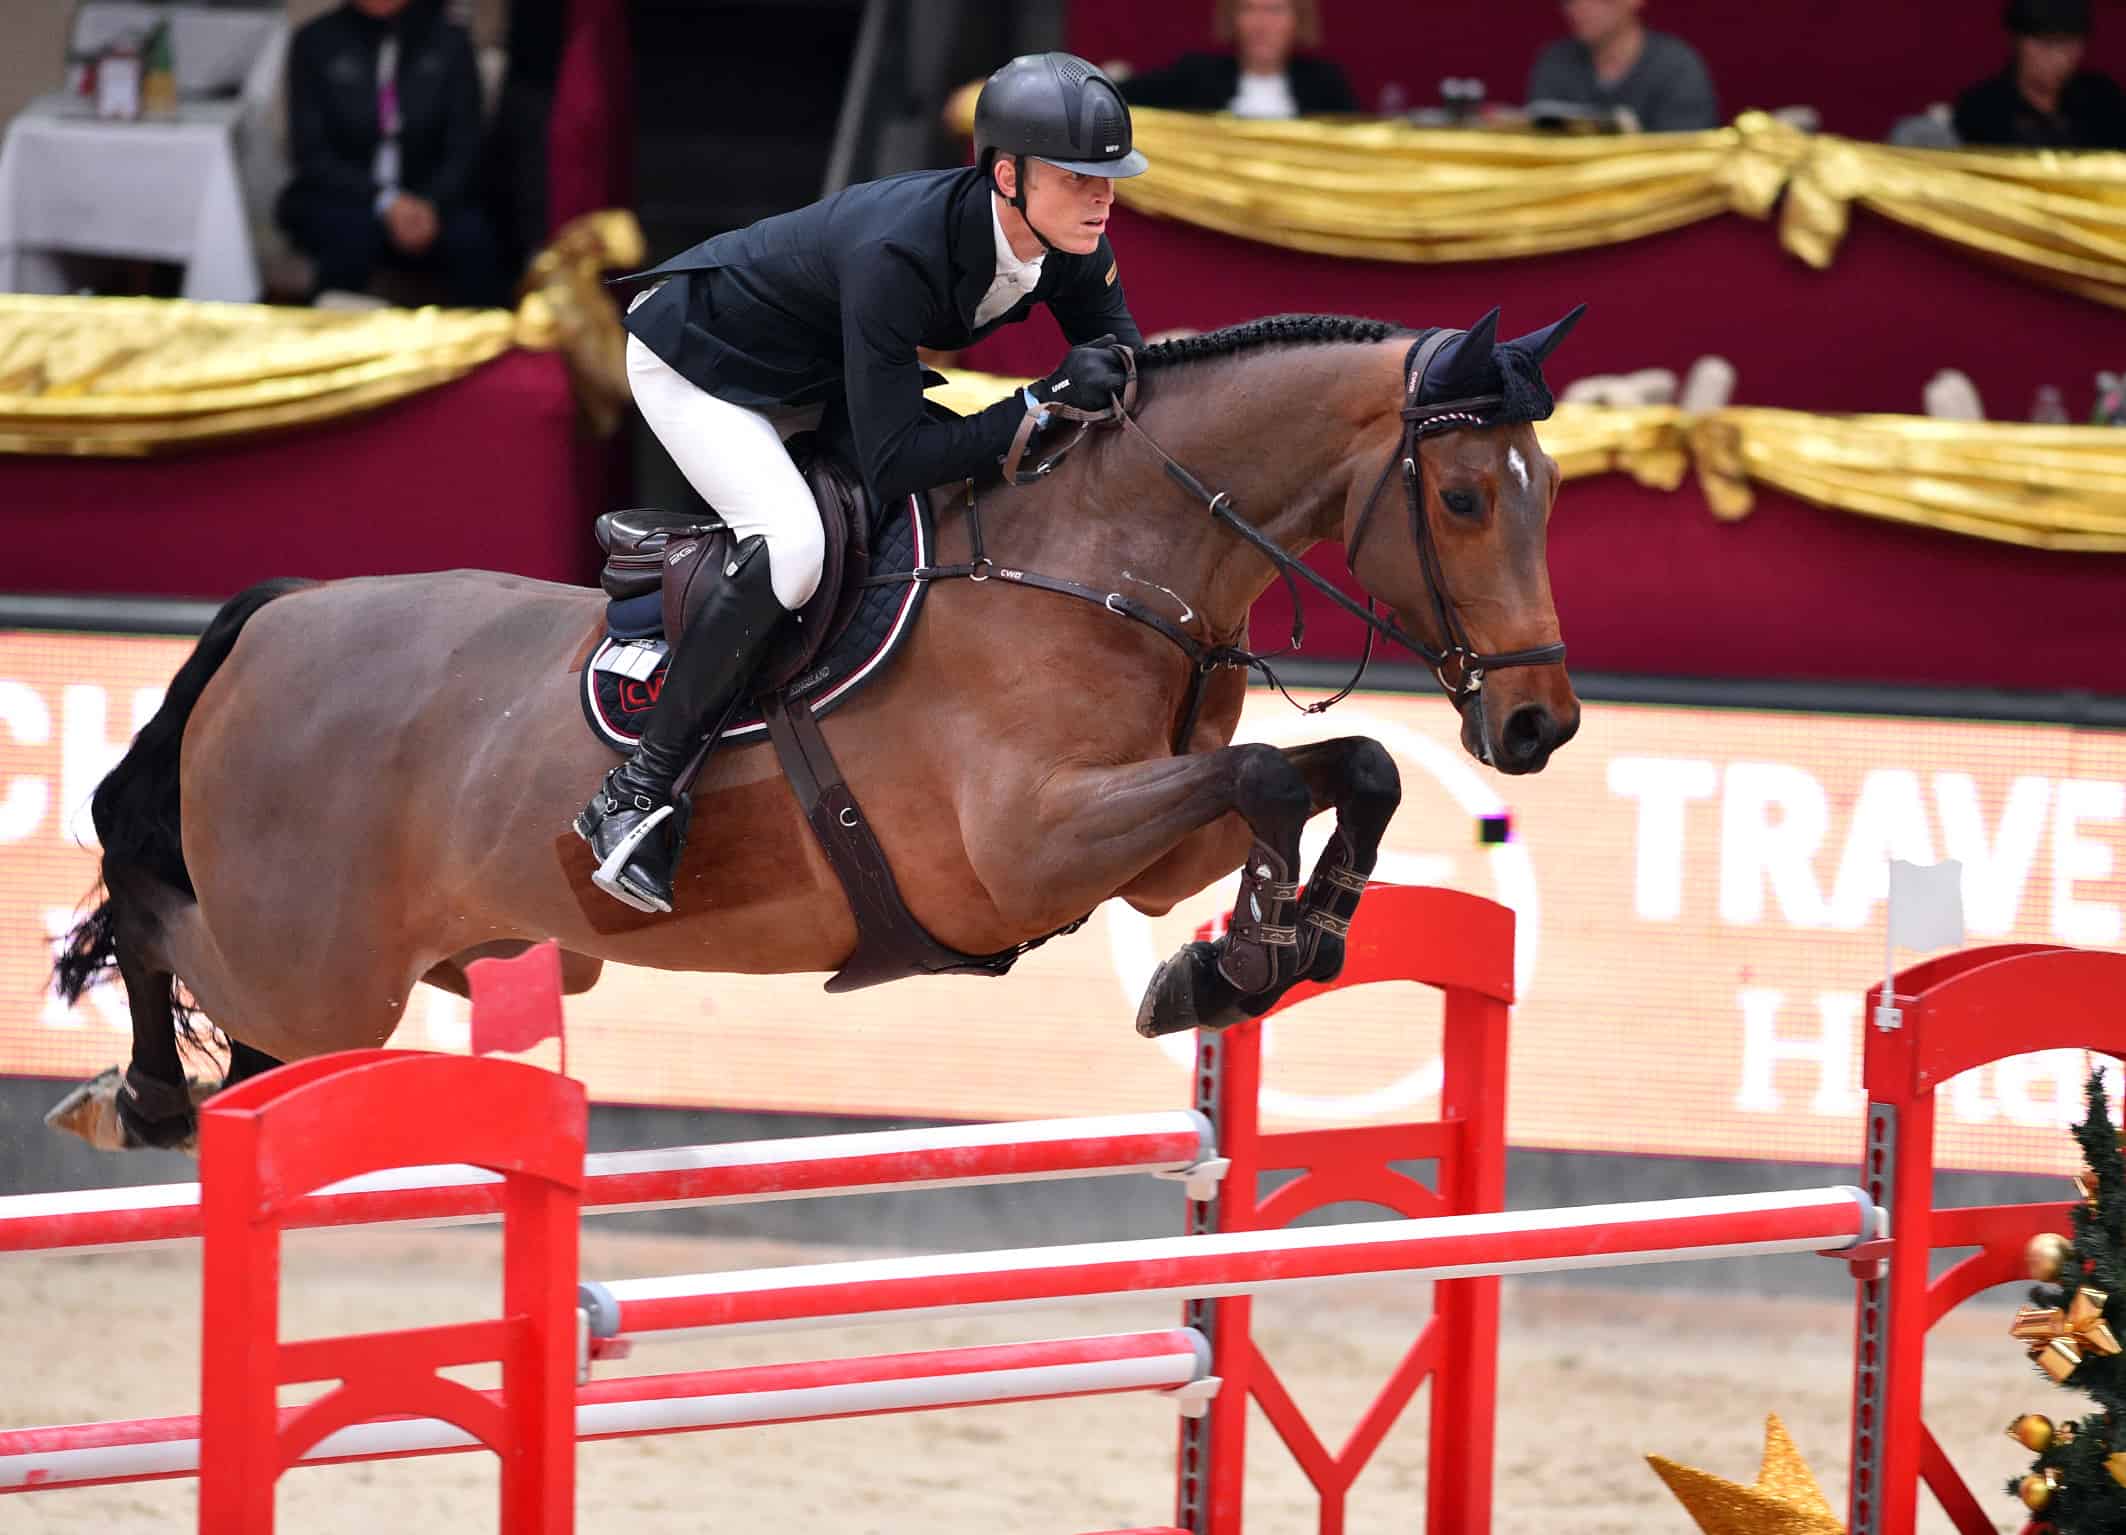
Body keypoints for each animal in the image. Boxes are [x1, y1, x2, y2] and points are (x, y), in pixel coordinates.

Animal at [49, 310, 1581, 1148]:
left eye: (1549, 489)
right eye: (1459, 498)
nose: (1537, 725)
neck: (1100, 557)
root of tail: (276, 622)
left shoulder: (1142, 850)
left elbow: (1343, 766)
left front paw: (1267, 949)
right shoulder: (1028, 847)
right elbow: (1268, 769)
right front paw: (1244, 956)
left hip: (344, 985)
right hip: (311, 969)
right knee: (153, 921)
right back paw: (138, 1094)